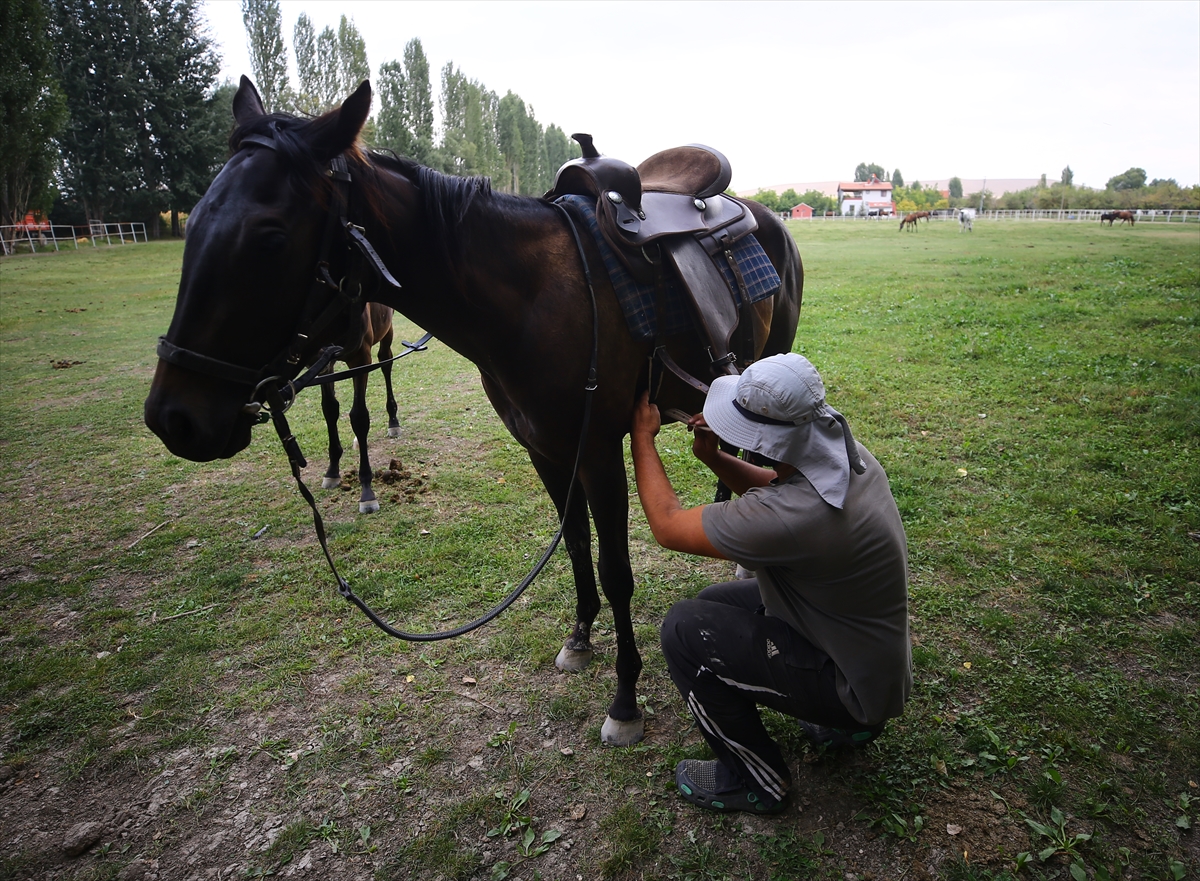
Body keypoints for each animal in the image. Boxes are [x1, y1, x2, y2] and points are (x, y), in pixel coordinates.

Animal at [319, 302, 403, 513]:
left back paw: (393, 421)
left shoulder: (360, 357)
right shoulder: (322, 361)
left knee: (386, 361)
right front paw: (332, 470)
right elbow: (330, 409)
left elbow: (359, 416)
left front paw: (367, 491)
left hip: (387, 331)